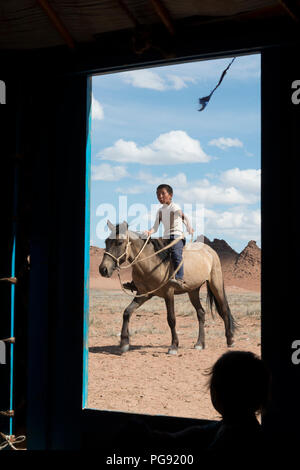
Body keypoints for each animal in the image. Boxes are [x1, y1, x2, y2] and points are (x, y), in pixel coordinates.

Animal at [98, 222, 234, 354]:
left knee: (224, 309)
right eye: (106, 242)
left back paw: (230, 339)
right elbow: (127, 312)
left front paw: (174, 346)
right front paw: (124, 343)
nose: (103, 269)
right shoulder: (143, 294)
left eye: (119, 242)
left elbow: (171, 319)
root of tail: (210, 251)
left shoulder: (168, 293)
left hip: (215, 284)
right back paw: (200, 343)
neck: (151, 263)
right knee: (201, 313)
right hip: (193, 290)